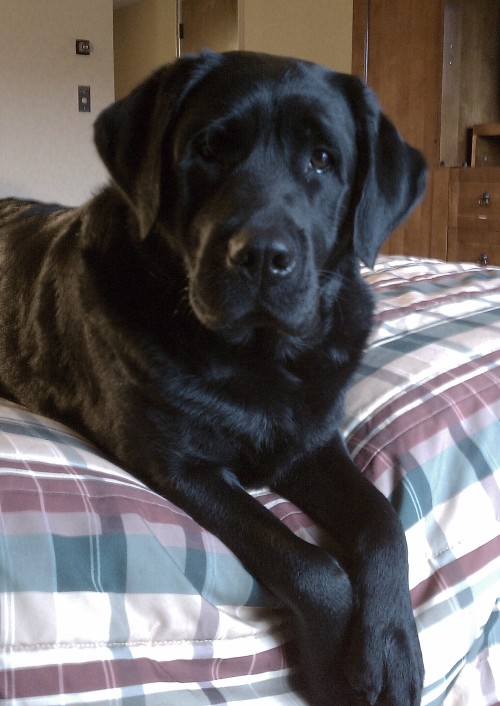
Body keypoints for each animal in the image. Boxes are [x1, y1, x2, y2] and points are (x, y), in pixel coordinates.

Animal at [0, 51, 426, 704]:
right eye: (210, 149)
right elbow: (312, 565)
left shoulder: (310, 442)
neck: (258, 356)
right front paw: (332, 669)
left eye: (323, 159)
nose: (262, 256)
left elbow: (383, 521)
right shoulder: (179, 465)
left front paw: (392, 650)